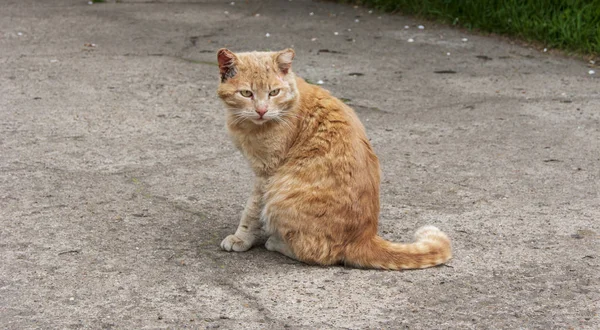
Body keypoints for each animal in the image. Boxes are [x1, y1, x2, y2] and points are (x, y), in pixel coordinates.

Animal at [216, 49, 450, 270]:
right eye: (246, 93)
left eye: (274, 92)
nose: (262, 110)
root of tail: (364, 238)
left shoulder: (265, 173)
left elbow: (251, 211)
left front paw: (241, 238)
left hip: (278, 194)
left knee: (319, 254)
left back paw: (276, 242)